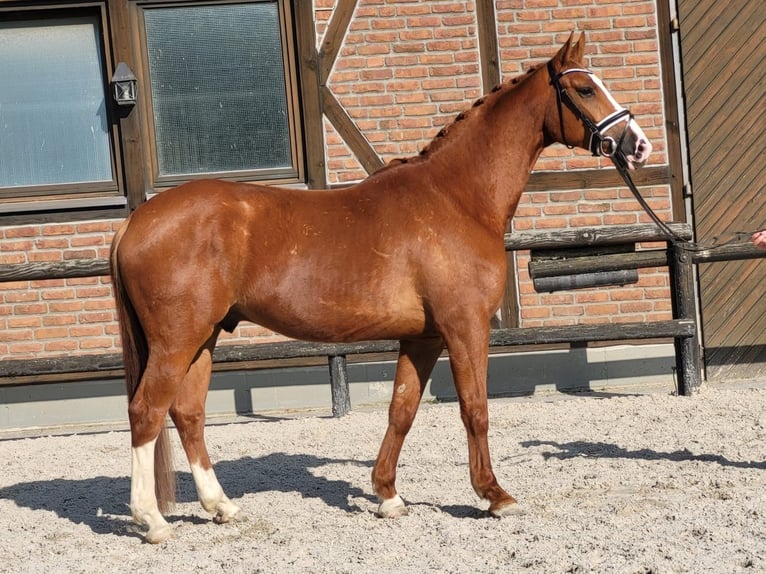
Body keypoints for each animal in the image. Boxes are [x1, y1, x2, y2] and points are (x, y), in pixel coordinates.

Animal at [112, 33, 656, 548]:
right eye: (585, 89)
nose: (638, 144)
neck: (457, 197)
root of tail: (136, 222)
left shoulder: (424, 336)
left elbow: (402, 410)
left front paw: (387, 496)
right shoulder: (465, 328)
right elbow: (475, 409)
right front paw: (494, 495)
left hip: (203, 338)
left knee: (187, 413)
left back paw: (221, 506)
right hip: (176, 340)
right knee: (146, 411)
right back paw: (152, 521)